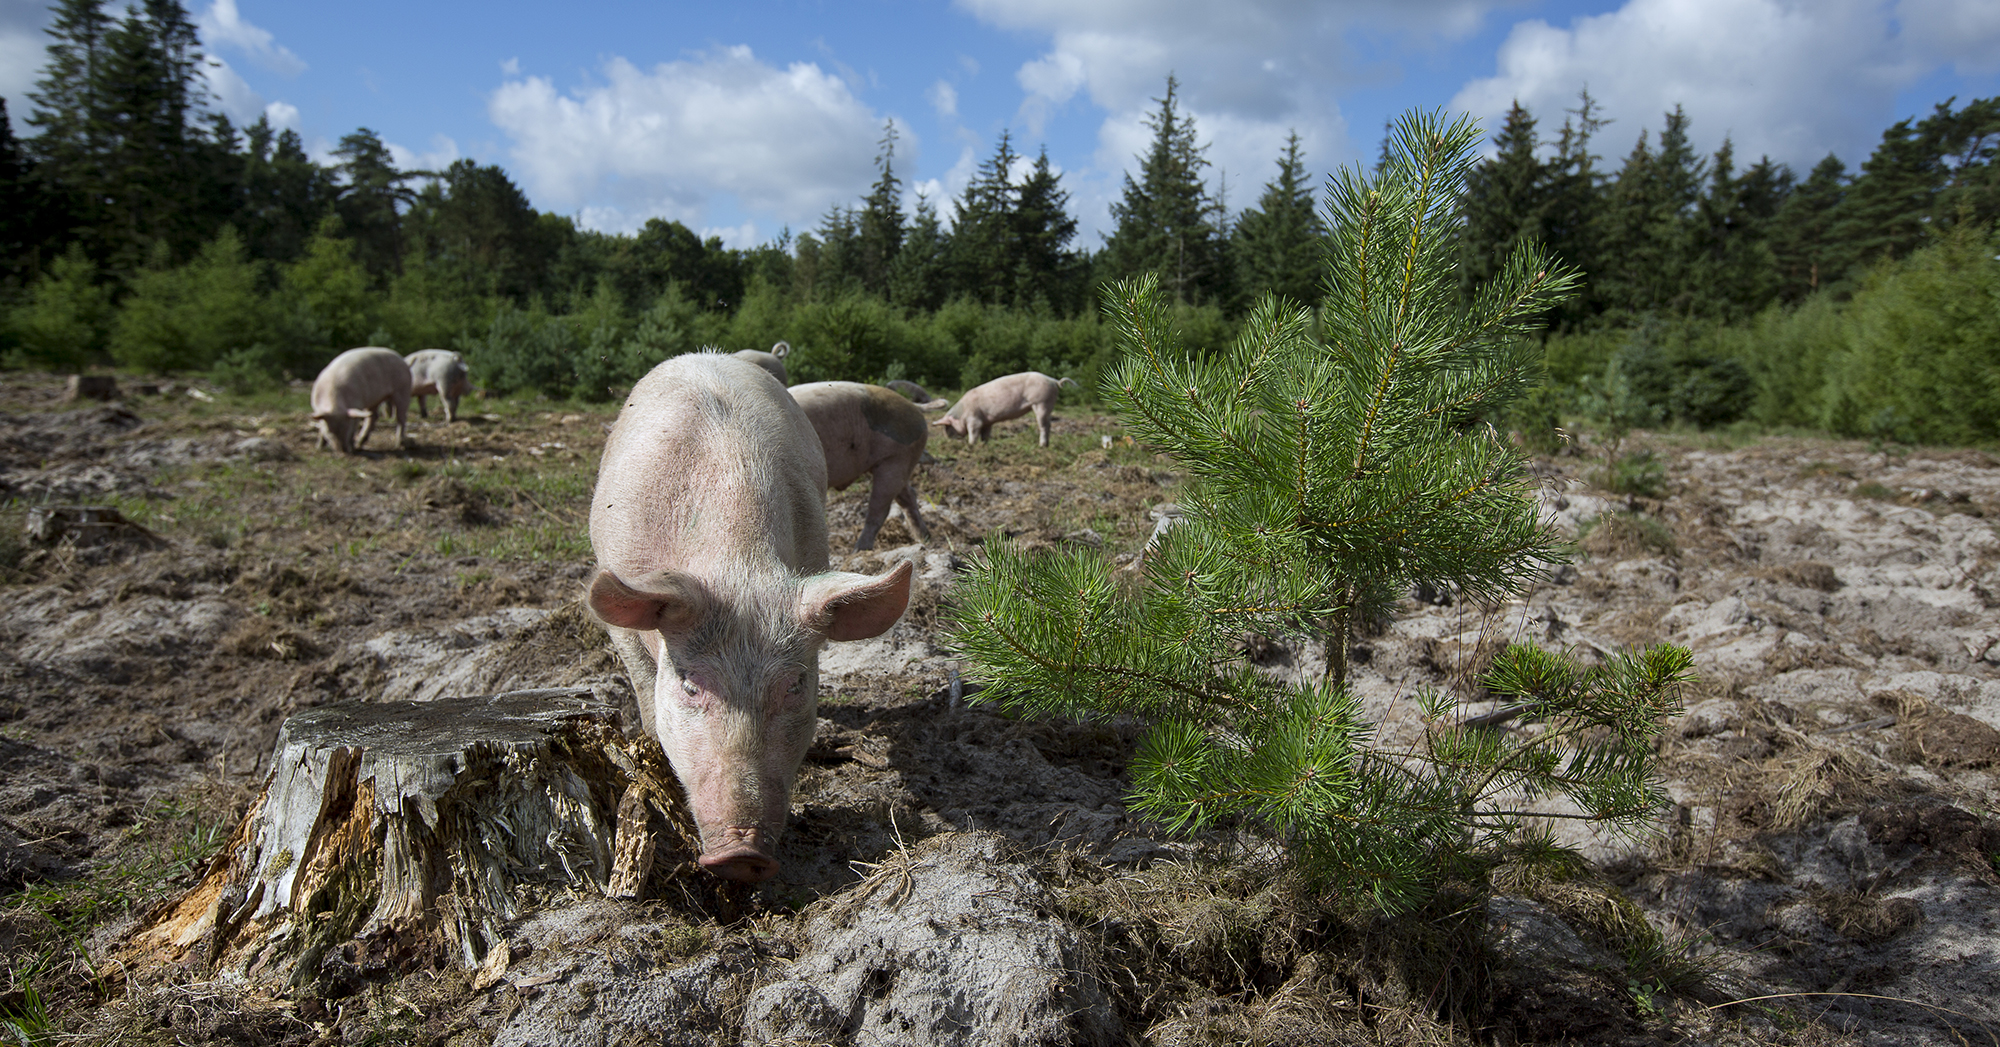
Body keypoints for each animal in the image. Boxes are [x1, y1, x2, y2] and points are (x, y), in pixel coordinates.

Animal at [788, 379, 928, 551]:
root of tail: (913, 406)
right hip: (900, 462)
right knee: (908, 496)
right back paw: (924, 537)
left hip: (897, 458)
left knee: (880, 508)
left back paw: (859, 549)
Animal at [932, 371, 1080, 445]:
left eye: (948, 427)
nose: (948, 440)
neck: (961, 414)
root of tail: (1053, 381)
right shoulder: (987, 422)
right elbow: (985, 435)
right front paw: (984, 445)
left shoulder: (974, 420)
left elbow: (973, 433)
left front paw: (971, 445)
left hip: (1041, 402)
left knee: (1045, 426)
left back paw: (1042, 445)